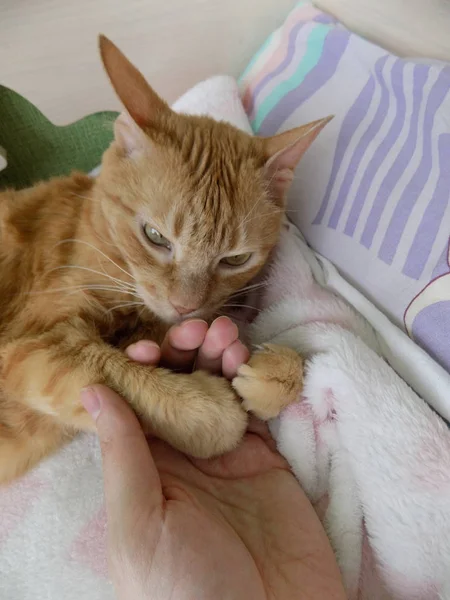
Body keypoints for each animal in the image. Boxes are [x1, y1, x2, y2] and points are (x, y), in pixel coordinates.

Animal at [0, 35, 330, 482]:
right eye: (155, 237)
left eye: (235, 259)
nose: (183, 305)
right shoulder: (28, 343)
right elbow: (110, 370)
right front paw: (208, 410)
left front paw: (274, 371)